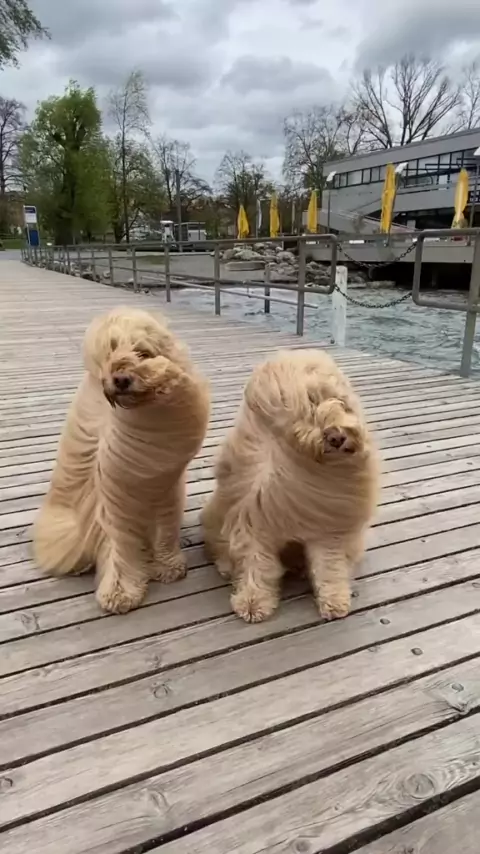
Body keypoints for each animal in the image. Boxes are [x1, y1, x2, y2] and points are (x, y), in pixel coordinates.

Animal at [33, 306, 210, 614]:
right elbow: (122, 548)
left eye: (143, 352)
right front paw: (120, 591)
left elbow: (165, 532)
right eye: (111, 352)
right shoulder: (116, 498)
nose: (121, 379)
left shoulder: (166, 489)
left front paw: (168, 566)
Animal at [202, 348, 379, 623]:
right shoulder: (253, 520)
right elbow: (256, 564)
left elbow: (328, 565)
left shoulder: (327, 525)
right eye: (310, 403)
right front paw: (253, 603)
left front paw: (335, 602)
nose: (338, 436)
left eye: (340, 401)